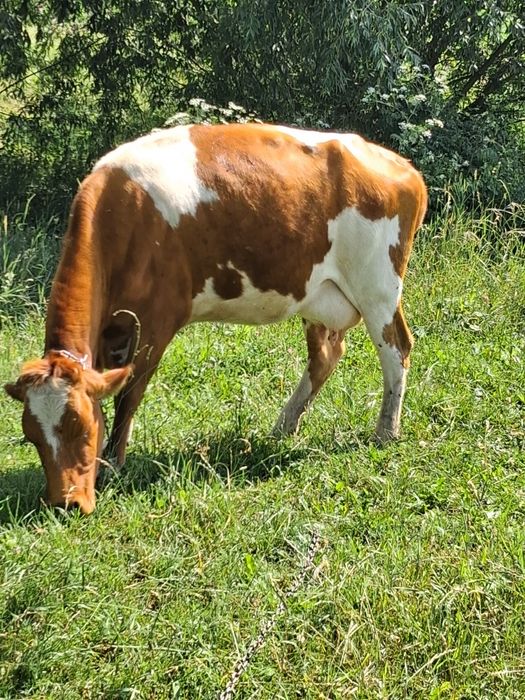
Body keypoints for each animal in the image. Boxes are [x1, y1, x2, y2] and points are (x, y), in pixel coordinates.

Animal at [4, 123, 427, 514]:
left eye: (79, 425)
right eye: (31, 437)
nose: (65, 504)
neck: (123, 212)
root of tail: (400, 165)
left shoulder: (157, 321)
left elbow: (129, 395)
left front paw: (113, 465)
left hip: (377, 288)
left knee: (397, 351)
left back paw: (386, 431)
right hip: (316, 293)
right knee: (325, 356)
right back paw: (283, 427)